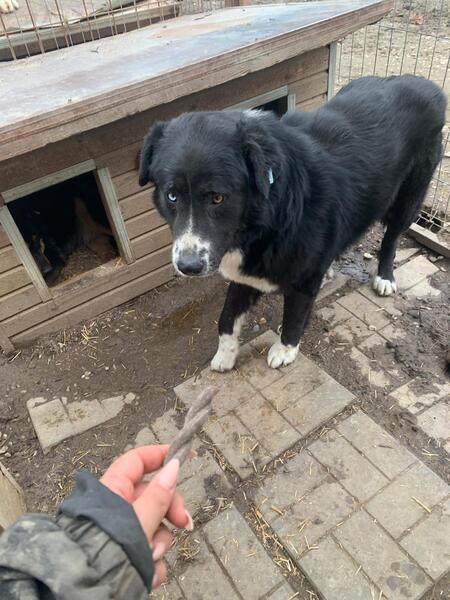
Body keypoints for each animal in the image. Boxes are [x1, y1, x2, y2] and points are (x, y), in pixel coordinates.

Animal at [138, 74, 446, 372]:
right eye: (172, 195)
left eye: (217, 198)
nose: (188, 267)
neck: (267, 216)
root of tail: (423, 84)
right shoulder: (246, 273)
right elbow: (226, 317)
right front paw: (225, 355)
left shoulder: (300, 280)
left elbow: (294, 316)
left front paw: (285, 350)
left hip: (409, 198)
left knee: (392, 237)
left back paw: (384, 277)